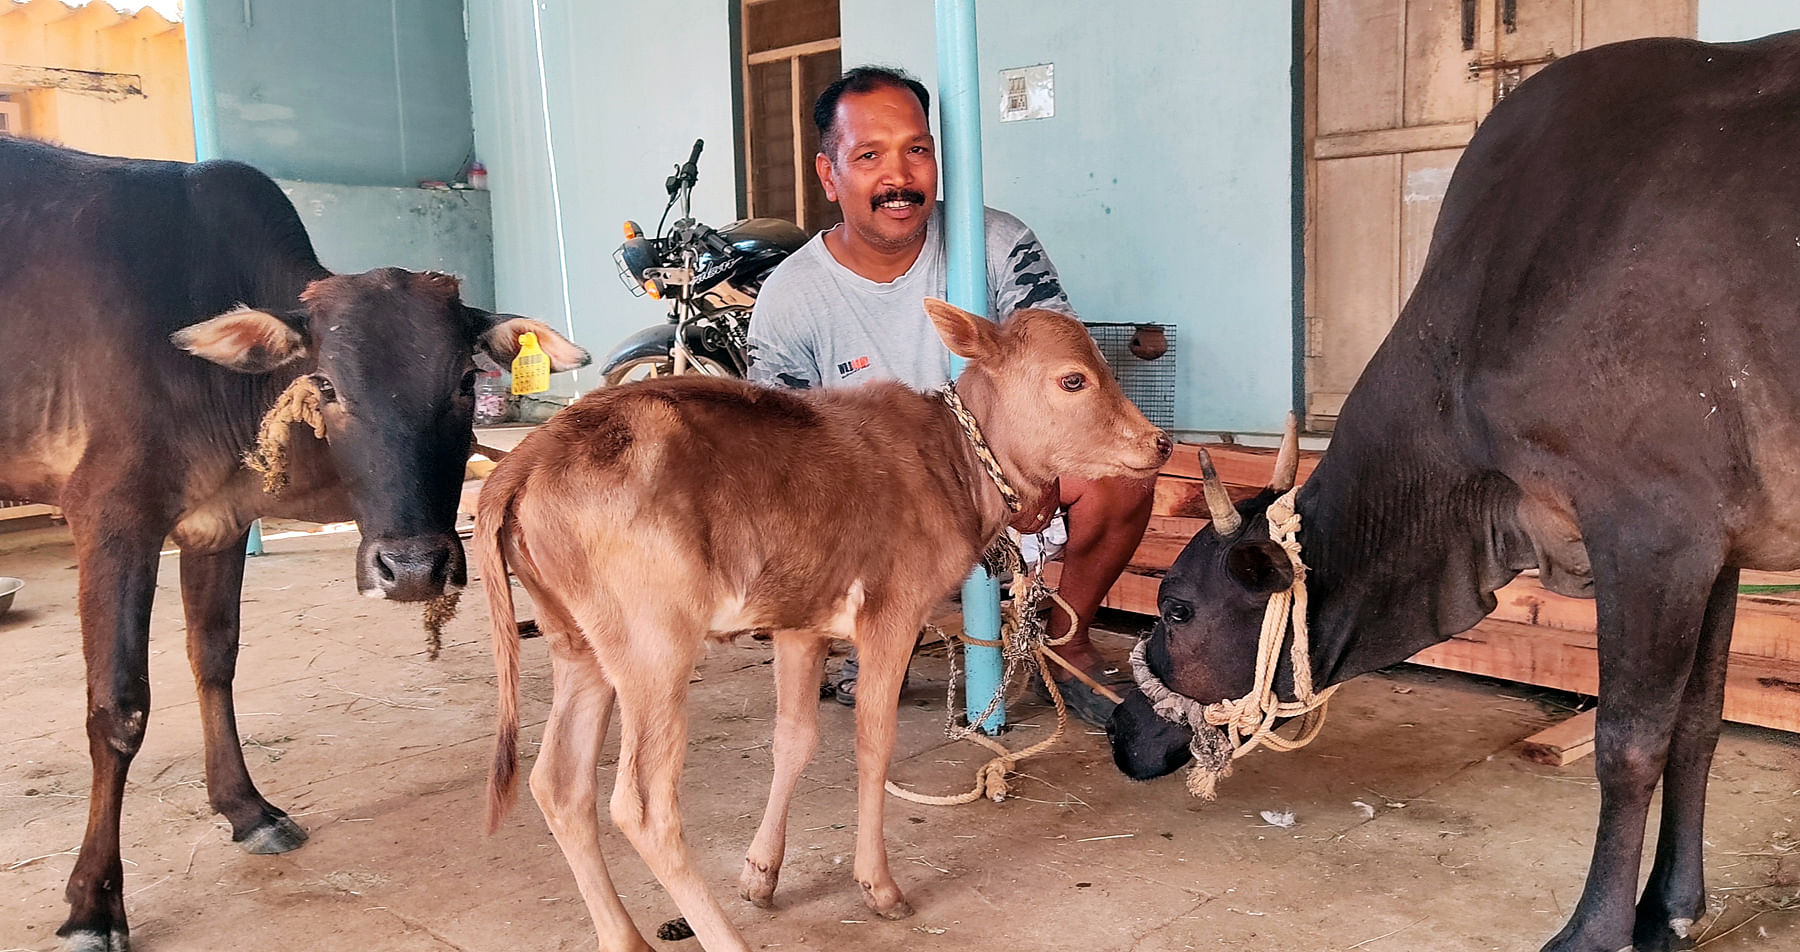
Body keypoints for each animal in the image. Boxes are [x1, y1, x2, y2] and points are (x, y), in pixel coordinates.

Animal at [0, 139, 590, 950]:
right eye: (328, 384)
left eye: (467, 383)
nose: (413, 568)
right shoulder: (111, 515)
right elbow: (118, 708)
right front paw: (93, 902)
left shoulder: (217, 522)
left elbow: (215, 660)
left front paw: (247, 811)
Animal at [1108, 29, 1800, 950]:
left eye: (1178, 607)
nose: (1115, 727)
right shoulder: (1720, 547)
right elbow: (1698, 722)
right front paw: (1672, 908)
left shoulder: (1656, 529)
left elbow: (1628, 744)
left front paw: (1596, 928)